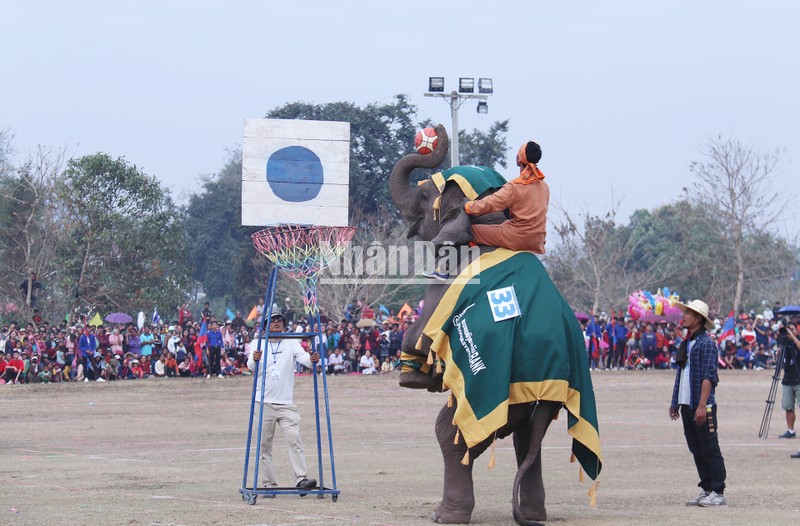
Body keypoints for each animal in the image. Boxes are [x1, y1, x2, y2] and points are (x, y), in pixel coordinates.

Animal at [388, 126, 600, 524]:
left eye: (424, 195)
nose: (433, 134)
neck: (492, 220)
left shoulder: (448, 275)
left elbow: (422, 331)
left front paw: (414, 376)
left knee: (453, 431)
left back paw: (446, 515)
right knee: (528, 437)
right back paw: (532, 514)